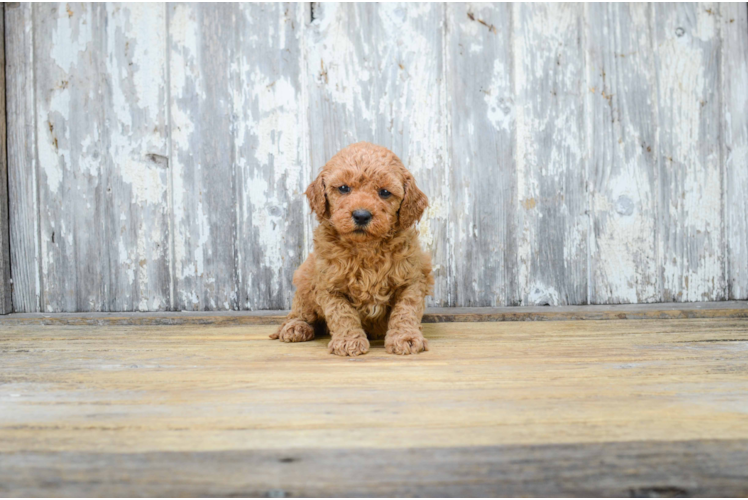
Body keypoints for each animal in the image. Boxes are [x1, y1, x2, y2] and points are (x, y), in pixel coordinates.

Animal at [270, 143, 432, 358]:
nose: (361, 215)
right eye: (344, 188)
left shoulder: (411, 279)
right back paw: (296, 327)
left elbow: (405, 311)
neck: (366, 247)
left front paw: (406, 337)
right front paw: (348, 341)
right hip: (305, 277)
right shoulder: (329, 284)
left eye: (385, 192)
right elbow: (342, 313)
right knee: (299, 311)